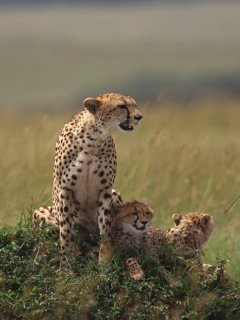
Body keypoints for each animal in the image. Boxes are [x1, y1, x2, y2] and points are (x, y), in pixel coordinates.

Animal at [33, 94, 142, 268]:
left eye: (135, 105)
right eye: (122, 106)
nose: (139, 117)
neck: (93, 141)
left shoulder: (106, 190)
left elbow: (105, 229)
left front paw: (104, 263)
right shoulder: (65, 191)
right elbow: (65, 233)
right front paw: (66, 267)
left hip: (115, 194)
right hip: (41, 213)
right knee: (75, 237)